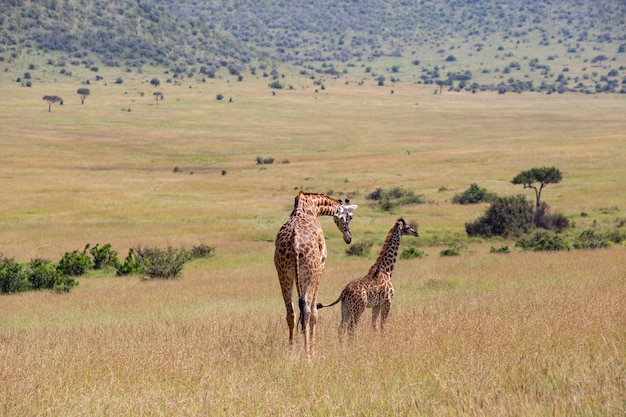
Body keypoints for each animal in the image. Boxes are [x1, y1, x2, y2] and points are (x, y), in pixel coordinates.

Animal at [272, 190, 356, 356]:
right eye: (350, 217)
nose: (349, 237)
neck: (311, 207)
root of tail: (294, 243)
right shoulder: (321, 267)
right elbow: (314, 311)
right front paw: (313, 347)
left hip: (283, 274)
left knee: (291, 313)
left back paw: (291, 353)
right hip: (309, 275)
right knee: (307, 312)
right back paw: (308, 354)